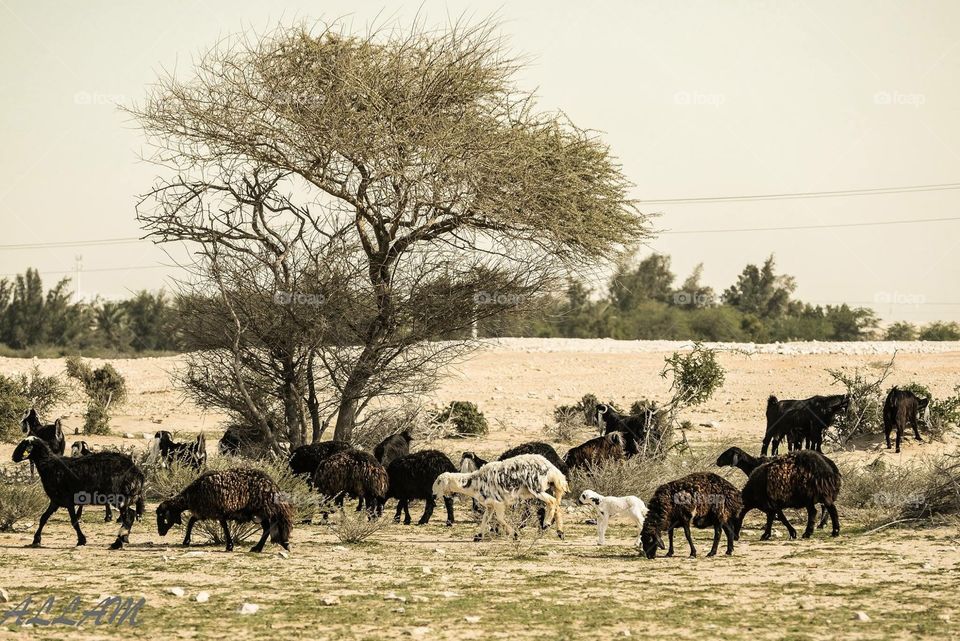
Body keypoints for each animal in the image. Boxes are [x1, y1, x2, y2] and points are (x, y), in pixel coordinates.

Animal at [12, 436, 145, 550]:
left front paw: (81, 540)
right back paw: (122, 539)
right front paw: (36, 540)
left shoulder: (68, 500)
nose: (13, 457)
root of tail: (137, 472)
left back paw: (118, 542)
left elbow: (74, 521)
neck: (50, 466)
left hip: (119, 497)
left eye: (24, 445)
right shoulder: (56, 501)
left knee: (128, 516)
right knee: (131, 515)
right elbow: (43, 518)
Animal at [156, 468, 293, 553]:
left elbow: (222, 526)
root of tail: (273, 487)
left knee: (269, 527)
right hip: (259, 512)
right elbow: (192, 520)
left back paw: (268, 546)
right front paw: (186, 541)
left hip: (261, 510)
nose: (160, 533)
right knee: (267, 528)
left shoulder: (216, 511)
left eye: (162, 516)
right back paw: (260, 548)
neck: (192, 494)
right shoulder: (205, 511)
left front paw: (229, 546)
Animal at [432, 454, 568, 541]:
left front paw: (514, 534)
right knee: (557, 504)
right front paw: (478, 536)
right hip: (545, 488)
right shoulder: (490, 505)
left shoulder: (498, 503)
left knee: (552, 502)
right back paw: (560, 532)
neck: (475, 482)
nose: (433, 494)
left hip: (536, 488)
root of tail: (553, 471)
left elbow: (500, 519)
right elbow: (485, 519)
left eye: (438, 481)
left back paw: (546, 524)